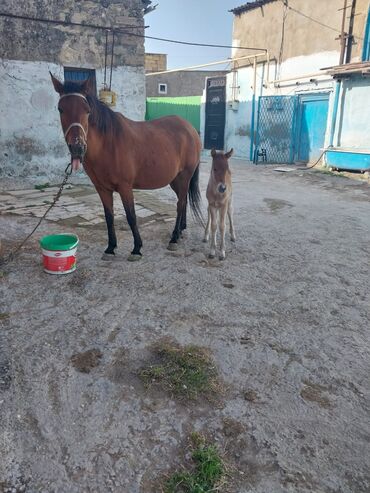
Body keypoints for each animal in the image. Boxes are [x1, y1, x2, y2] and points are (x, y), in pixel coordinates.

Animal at [49, 73, 202, 262]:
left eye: (87, 110)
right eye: (60, 109)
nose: (77, 148)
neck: (108, 144)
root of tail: (190, 128)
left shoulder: (125, 187)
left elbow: (131, 216)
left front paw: (136, 249)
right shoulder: (102, 189)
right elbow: (109, 217)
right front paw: (110, 248)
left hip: (184, 176)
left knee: (180, 203)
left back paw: (174, 238)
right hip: (175, 180)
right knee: (183, 200)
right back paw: (180, 231)